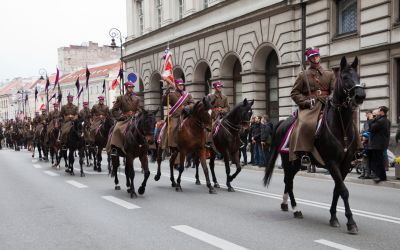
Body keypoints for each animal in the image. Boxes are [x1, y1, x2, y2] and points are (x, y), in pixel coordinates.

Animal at [262, 56, 366, 234]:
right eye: (345, 77)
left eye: (357, 76)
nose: (360, 95)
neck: (341, 127)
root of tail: (283, 122)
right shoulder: (332, 163)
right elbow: (343, 190)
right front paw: (351, 222)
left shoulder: (345, 165)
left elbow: (337, 190)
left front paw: (333, 217)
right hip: (288, 161)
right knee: (288, 182)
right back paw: (296, 209)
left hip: (296, 163)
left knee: (288, 182)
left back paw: (285, 204)